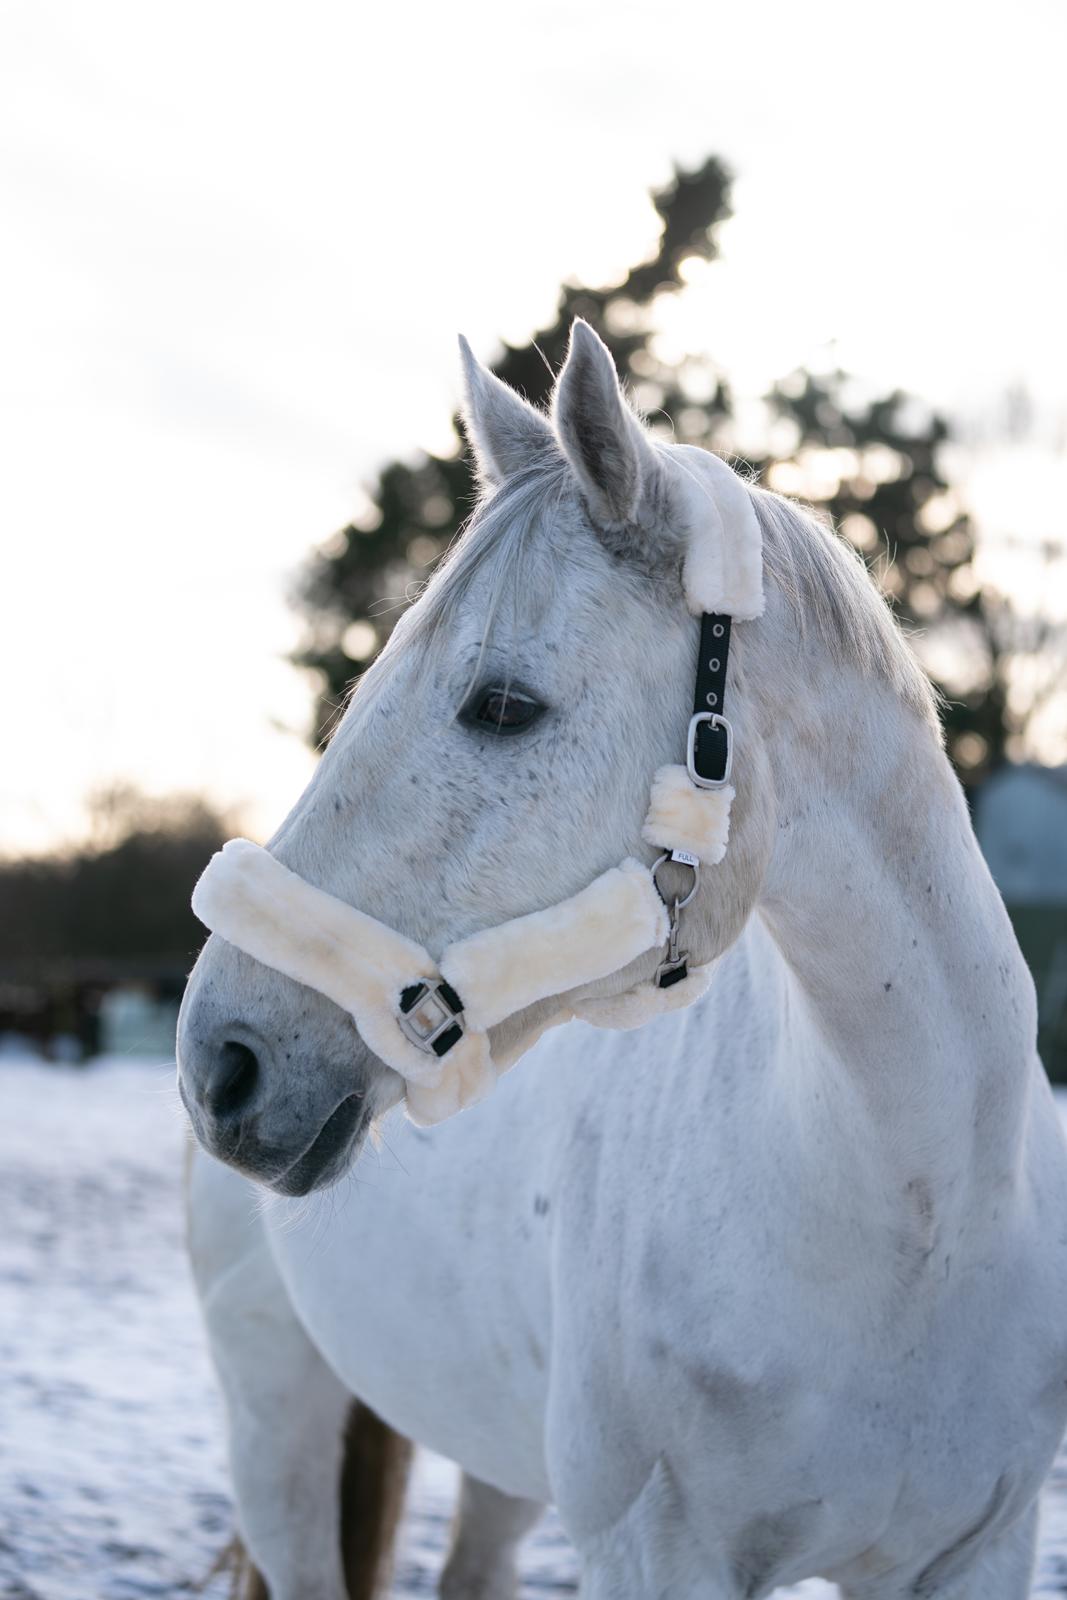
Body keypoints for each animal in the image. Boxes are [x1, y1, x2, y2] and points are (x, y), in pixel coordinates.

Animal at [177, 324, 1067, 1600]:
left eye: (502, 705)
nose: (222, 1060)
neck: (918, 1220)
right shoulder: (657, 1554)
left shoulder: (976, 1551)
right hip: (275, 1422)